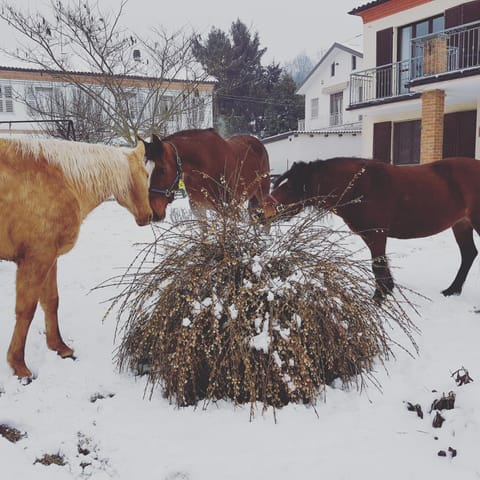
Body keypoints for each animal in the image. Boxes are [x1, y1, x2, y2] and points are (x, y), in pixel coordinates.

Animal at [0, 136, 152, 378]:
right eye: (146, 175)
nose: (149, 216)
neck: (62, 180)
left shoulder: (50, 258)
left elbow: (51, 302)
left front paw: (59, 347)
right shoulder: (36, 259)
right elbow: (26, 311)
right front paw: (18, 365)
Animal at [264, 157, 480, 300]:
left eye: (289, 187)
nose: (262, 211)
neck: (359, 186)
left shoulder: (377, 235)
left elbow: (377, 266)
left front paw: (378, 298)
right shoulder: (370, 235)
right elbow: (381, 264)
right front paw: (387, 289)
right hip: (461, 224)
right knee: (469, 254)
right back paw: (452, 290)